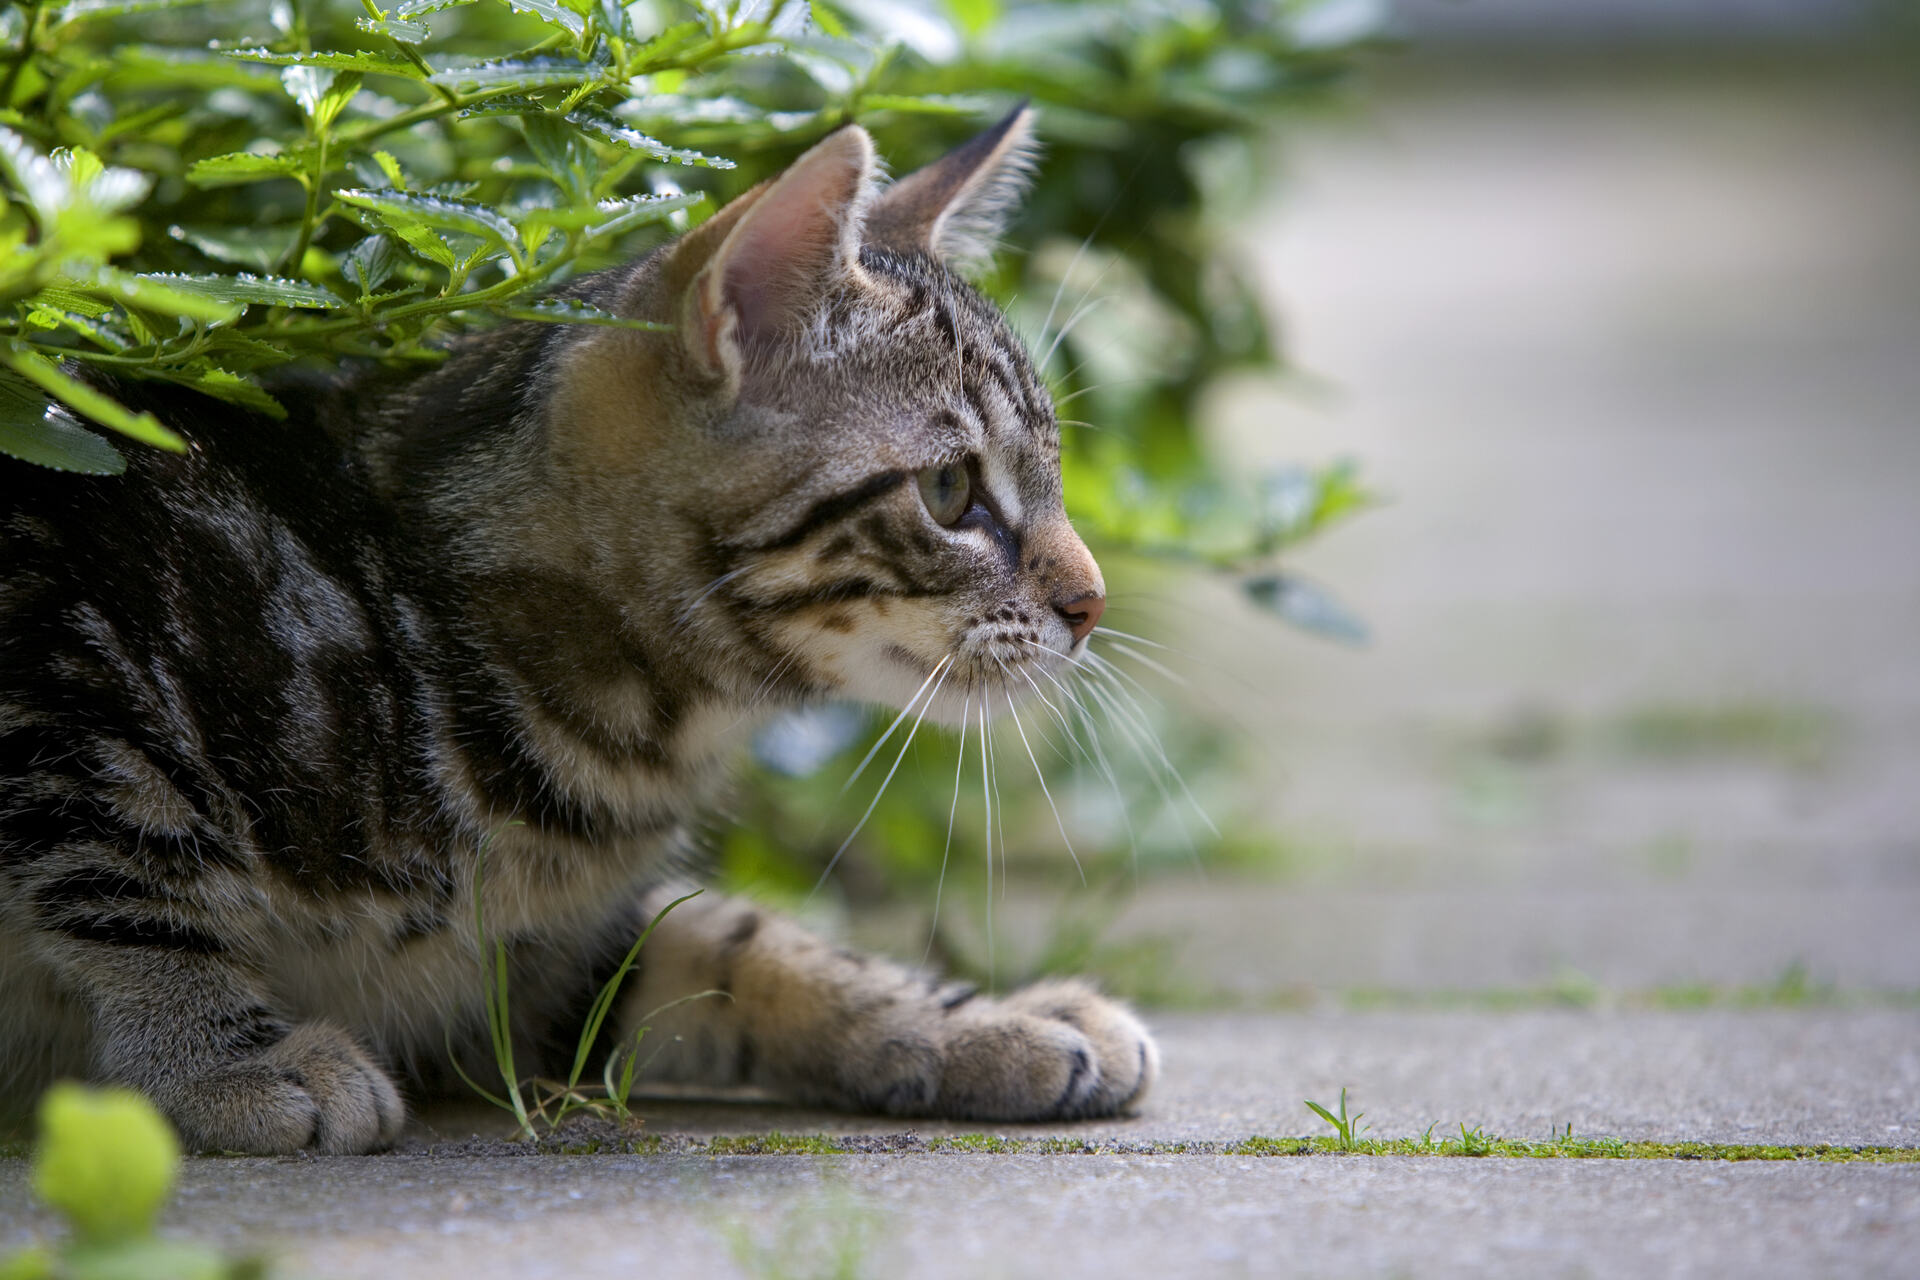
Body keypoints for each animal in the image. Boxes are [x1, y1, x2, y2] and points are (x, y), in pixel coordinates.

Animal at [0, 105, 1152, 1159]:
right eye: (952, 491)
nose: (1093, 602)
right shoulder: (58, 643)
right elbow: (116, 856)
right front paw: (221, 1055)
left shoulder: (540, 964)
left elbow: (733, 939)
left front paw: (981, 1019)